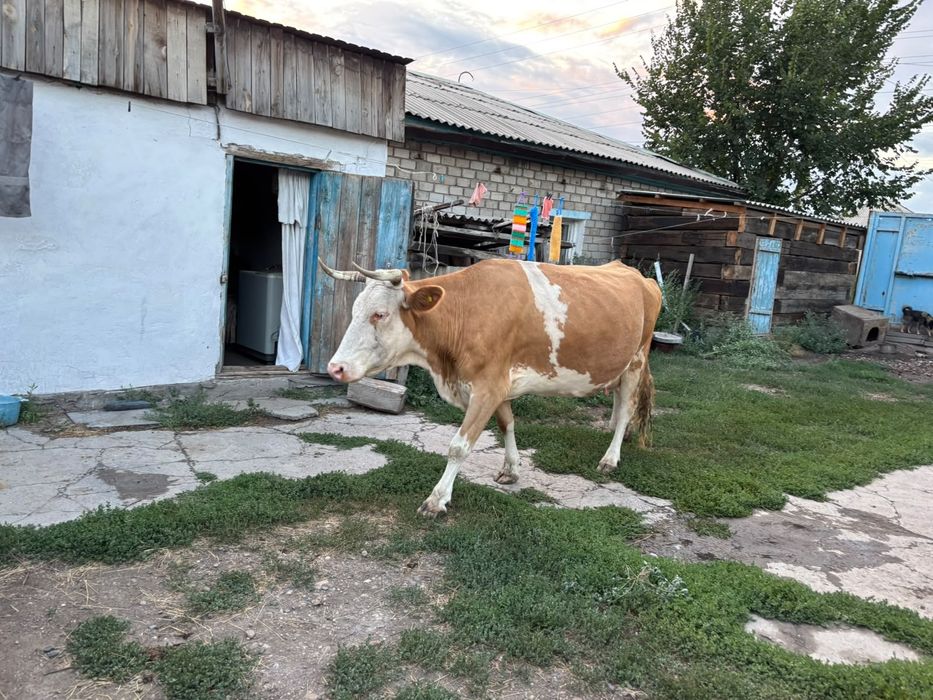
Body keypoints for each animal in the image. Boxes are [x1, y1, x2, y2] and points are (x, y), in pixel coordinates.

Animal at [318, 258, 662, 517]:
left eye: (380, 314)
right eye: (354, 311)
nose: (335, 367)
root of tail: (635, 273)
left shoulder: (488, 386)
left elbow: (459, 446)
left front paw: (437, 499)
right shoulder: (498, 384)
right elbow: (506, 423)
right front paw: (511, 469)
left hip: (637, 359)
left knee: (628, 406)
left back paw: (611, 457)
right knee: (618, 400)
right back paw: (615, 432)